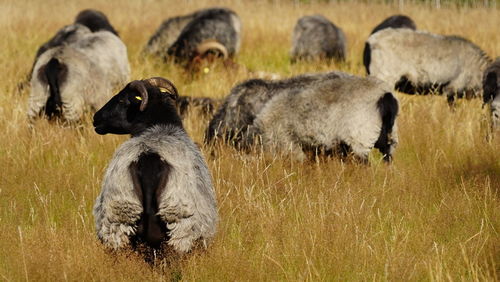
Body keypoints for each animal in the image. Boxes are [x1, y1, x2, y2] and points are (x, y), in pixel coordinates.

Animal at [93, 77, 218, 258]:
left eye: (122, 99)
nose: (95, 118)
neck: (158, 127)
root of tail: (148, 157)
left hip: (119, 220)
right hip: (179, 226)